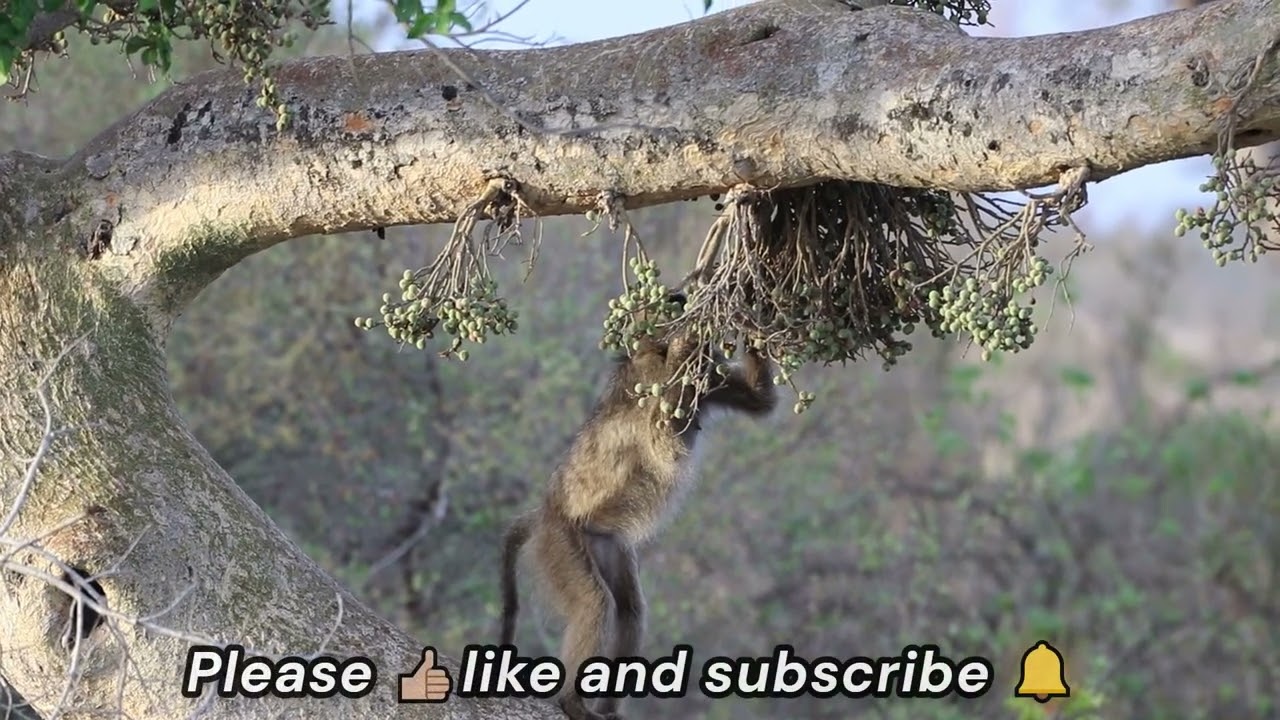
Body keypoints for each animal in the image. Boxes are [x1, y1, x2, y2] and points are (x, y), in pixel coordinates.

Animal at [499, 293, 777, 720]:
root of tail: (547, 510)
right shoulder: (659, 386)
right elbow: (666, 445)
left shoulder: (707, 382)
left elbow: (760, 401)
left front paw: (751, 312)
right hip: (561, 543)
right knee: (594, 604)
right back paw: (571, 702)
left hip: (603, 544)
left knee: (630, 610)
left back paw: (608, 706)